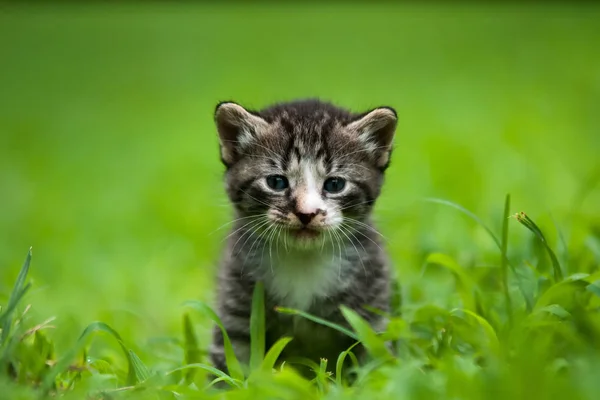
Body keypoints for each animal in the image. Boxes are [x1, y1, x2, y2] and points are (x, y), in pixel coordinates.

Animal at [209, 97, 396, 378]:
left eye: (334, 185)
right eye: (276, 182)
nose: (306, 213)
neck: (303, 260)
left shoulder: (369, 307)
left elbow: (375, 360)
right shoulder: (237, 306)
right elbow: (231, 364)